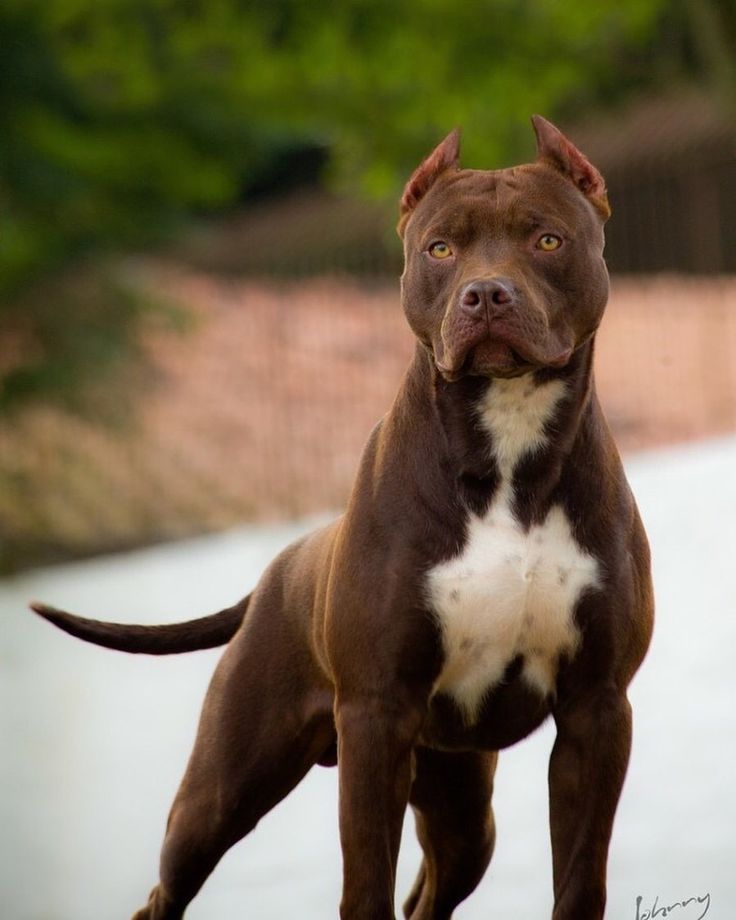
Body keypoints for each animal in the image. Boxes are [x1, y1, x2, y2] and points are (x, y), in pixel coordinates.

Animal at [33, 117, 656, 920]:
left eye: (547, 239)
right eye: (440, 249)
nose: (486, 294)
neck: (507, 446)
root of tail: (281, 565)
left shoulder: (596, 711)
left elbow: (579, 879)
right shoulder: (375, 716)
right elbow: (365, 884)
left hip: (459, 804)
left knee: (432, 891)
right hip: (220, 794)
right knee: (165, 892)